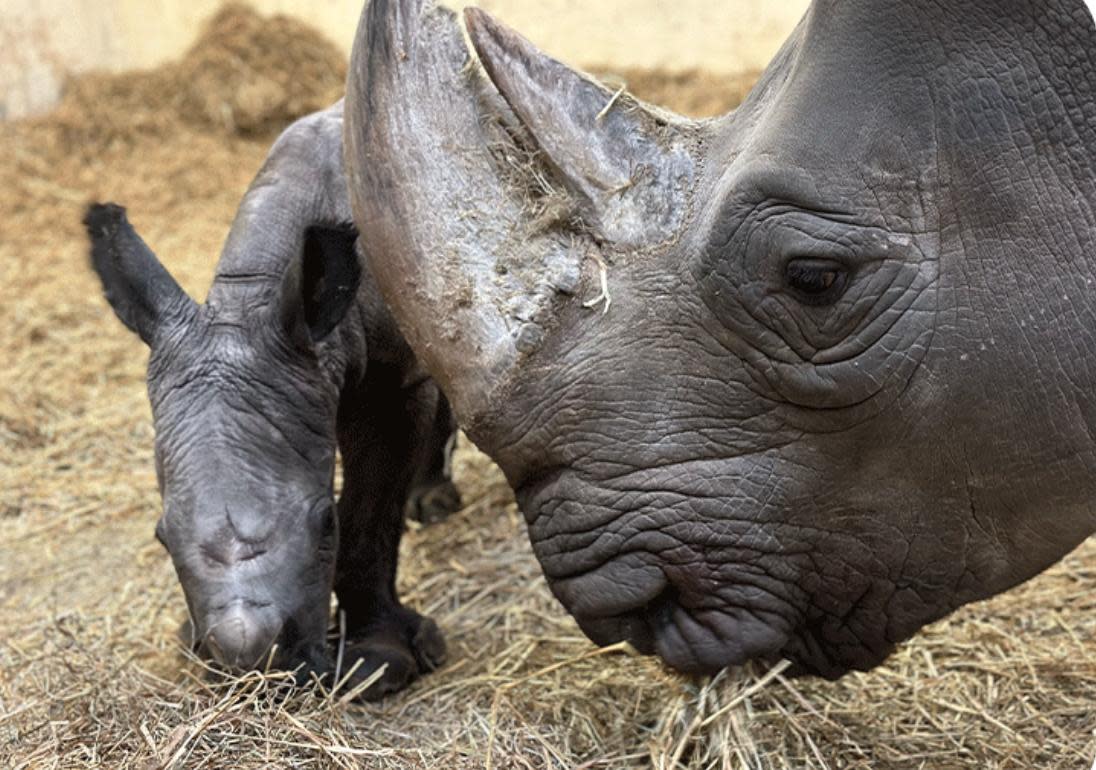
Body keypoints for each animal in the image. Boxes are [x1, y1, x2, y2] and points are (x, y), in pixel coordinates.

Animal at [85, 100, 458, 700]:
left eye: (325, 522)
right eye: (160, 537)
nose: (253, 665)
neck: (250, 297)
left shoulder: (385, 381)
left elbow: (371, 514)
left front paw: (379, 665)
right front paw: (193, 643)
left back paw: (433, 504)